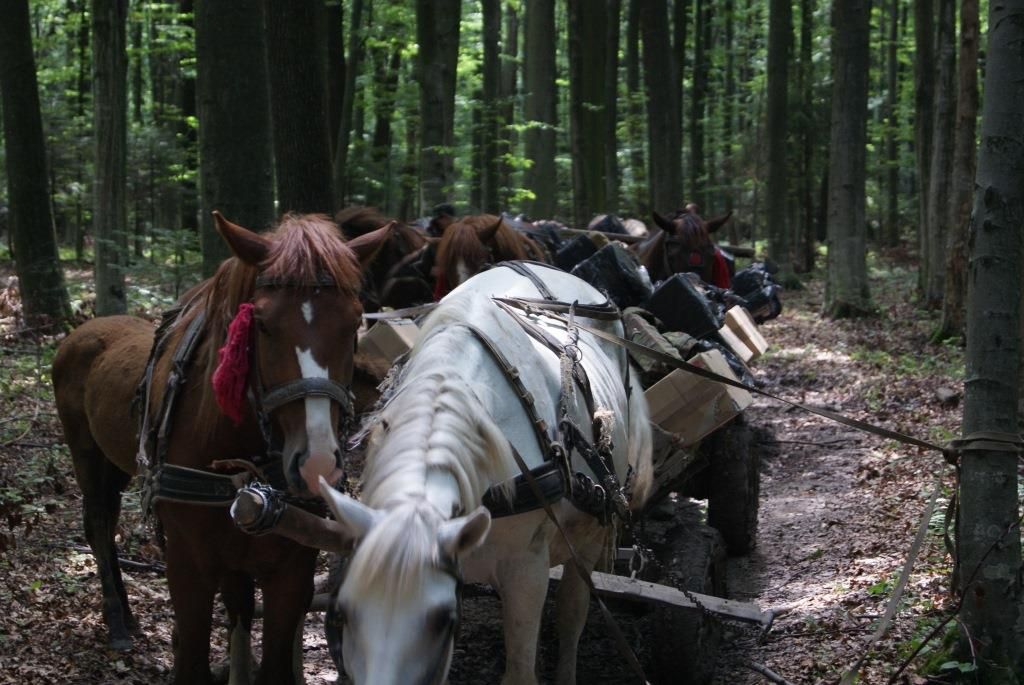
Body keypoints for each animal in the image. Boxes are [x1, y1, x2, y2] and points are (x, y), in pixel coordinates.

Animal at [52, 210, 395, 679]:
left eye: (354, 322)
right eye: (263, 324)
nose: (317, 464)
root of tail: (83, 329)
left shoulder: (292, 568)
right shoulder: (187, 568)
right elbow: (193, 659)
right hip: (87, 456)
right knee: (100, 525)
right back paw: (118, 621)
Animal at [321, 264, 655, 683]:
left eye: (443, 620)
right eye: (342, 612)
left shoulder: (526, 571)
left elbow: (522, 670)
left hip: (591, 529)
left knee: (572, 613)